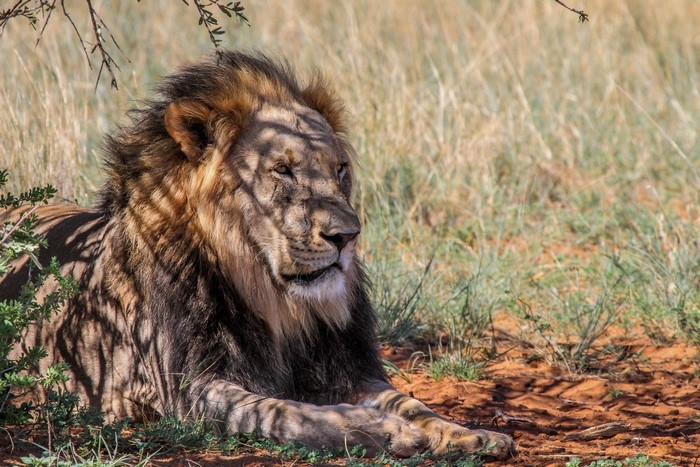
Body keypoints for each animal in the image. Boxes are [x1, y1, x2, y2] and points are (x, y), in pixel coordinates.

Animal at [2, 51, 515, 459]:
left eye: (340, 169)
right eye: (283, 171)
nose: (347, 236)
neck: (275, 299)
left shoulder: (349, 369)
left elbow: (409, 401)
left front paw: (468, 434)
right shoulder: (186, 388)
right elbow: (289, 413)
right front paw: (381, 431)